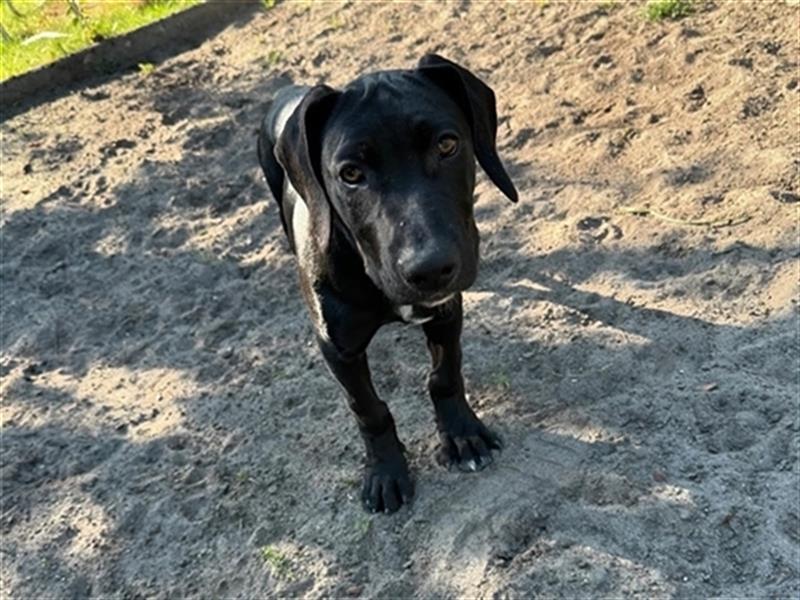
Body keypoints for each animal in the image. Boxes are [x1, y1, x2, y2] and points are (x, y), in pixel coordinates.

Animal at [256, 55, 520, 510]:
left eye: (447, 145)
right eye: (350, 173)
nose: (430, 268)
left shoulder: (446, 311)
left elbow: (445, 377)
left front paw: (462, 436)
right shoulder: (337, 348)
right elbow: (368, 409)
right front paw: (385, 471)